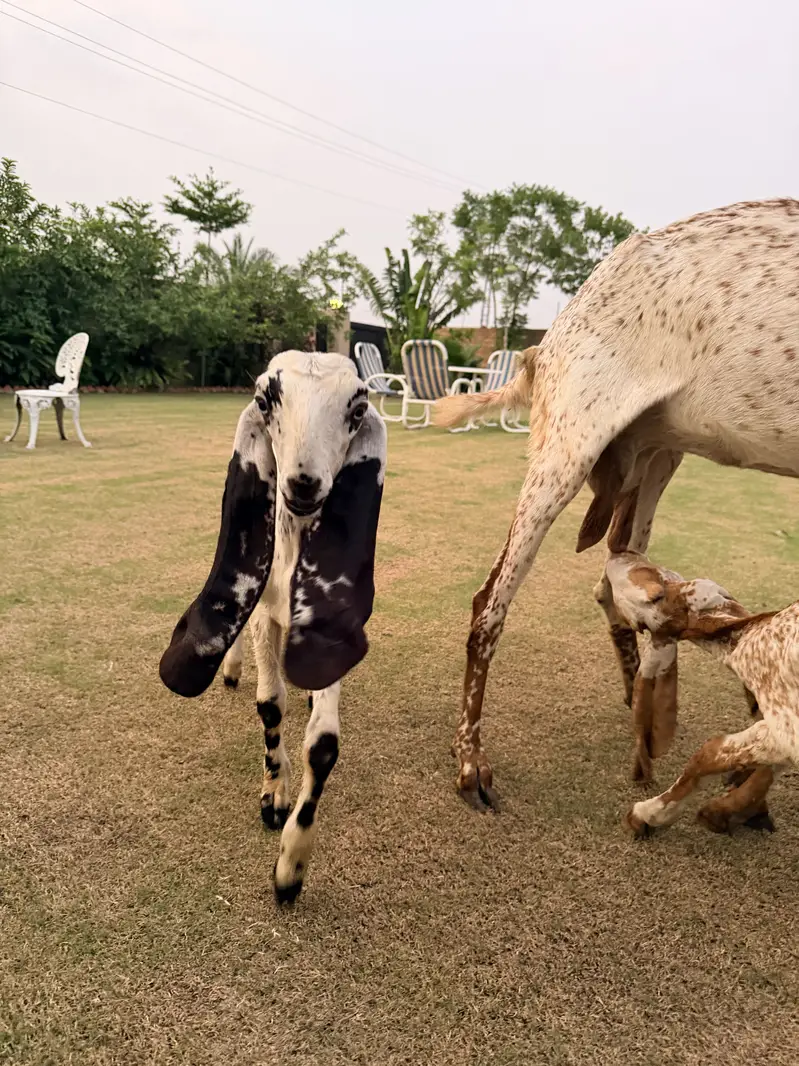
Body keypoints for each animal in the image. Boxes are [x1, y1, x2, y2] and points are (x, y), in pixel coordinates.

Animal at [159, 351, 387, 903]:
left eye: (357, 409)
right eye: (266, 400)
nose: (304, 483)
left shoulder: (325, 625)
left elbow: (322, 744)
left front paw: (291, 866)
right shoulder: (265, 612)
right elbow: (269, 705)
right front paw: (272, 798)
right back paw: (232, 667)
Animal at [605, 550, 796, 836]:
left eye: (657, 595)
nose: (619, 558)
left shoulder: (786, 724)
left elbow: (708, 753)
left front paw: (648, 814)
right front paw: (731, 810)